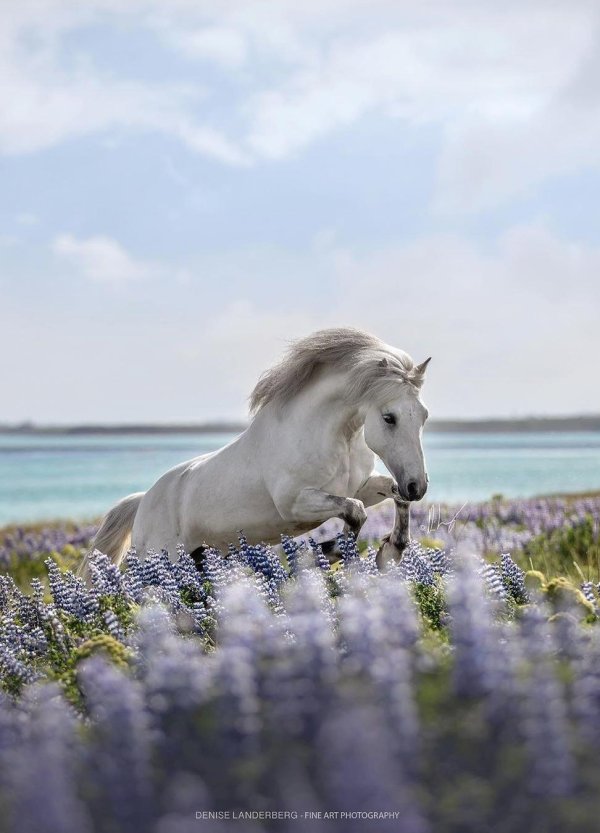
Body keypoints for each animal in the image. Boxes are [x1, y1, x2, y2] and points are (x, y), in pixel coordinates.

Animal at [78, 327, 430, 577]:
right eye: (389, 417)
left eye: (424, 415)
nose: (418, 486)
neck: (332, 437)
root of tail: (142, 503)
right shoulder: (295, 504)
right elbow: (355, 513)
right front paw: (330, 551)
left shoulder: (359, 487)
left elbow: (391, 495)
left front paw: (391, 551)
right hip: (167, 563)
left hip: (200, 556)